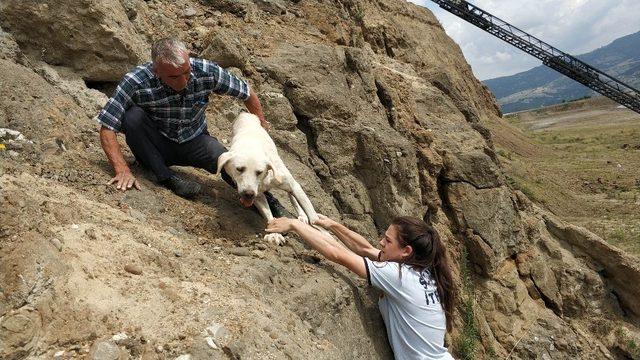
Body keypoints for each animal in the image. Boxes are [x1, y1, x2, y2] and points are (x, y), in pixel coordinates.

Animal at [218, 113, 324, 245]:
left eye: (259, 172)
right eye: (239, 169)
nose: (248, 194)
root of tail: (246, 113)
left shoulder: (292, 185)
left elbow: (314, 218)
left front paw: (323, 236)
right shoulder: (258, 196)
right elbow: (269, 216)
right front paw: (274, 233)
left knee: (293, 195)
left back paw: (302, 215)